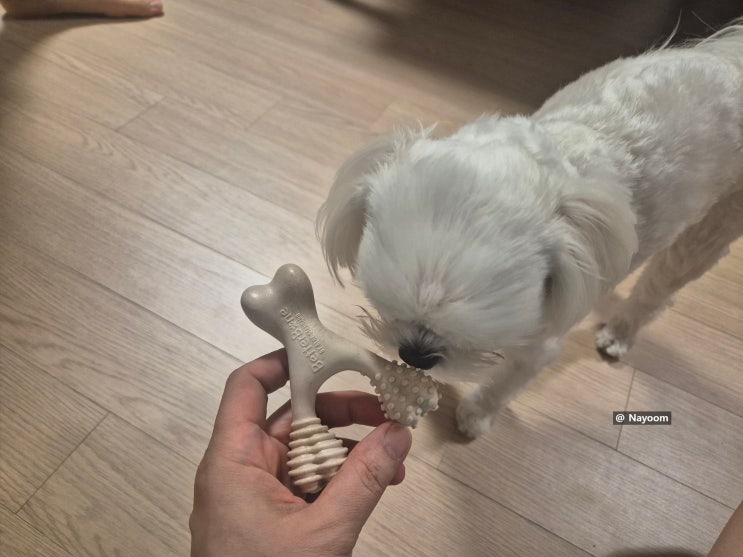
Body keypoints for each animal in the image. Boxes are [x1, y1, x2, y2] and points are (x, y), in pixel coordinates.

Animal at [316, 21, 743, 438]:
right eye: (388, 310)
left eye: (471, 337)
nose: (416, 355)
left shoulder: (542, 332)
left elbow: (509, 378)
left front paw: (475, 416)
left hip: (711, 228)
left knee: (660, 289)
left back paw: (619, 333)